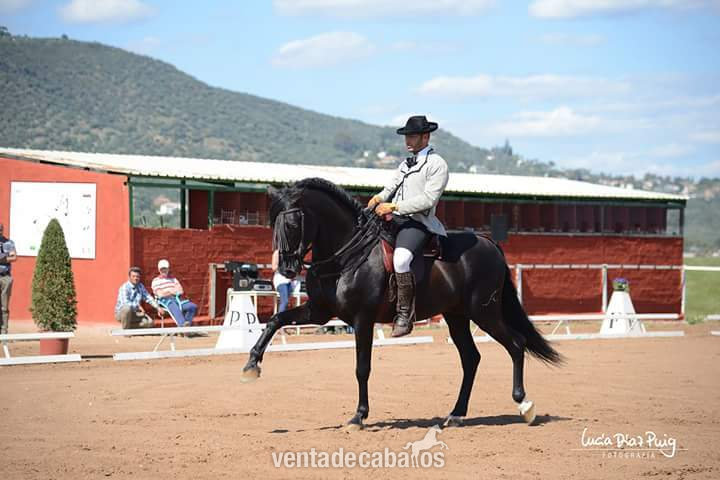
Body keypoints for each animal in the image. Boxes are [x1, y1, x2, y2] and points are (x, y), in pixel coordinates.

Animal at [240, 177, 562, 430]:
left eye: (294, 221)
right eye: (273, 222)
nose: (287, 270)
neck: (346, 255)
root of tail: (489, 243)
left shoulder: (362, 319)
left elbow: (362, 368)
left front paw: (358, 416)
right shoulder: (319, 313)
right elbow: (275, 321)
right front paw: (251, 365)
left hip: (484, 312)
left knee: (516, 344)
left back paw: (524, 406)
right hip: (457, 316)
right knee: (471, 358)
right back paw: (456, 414)